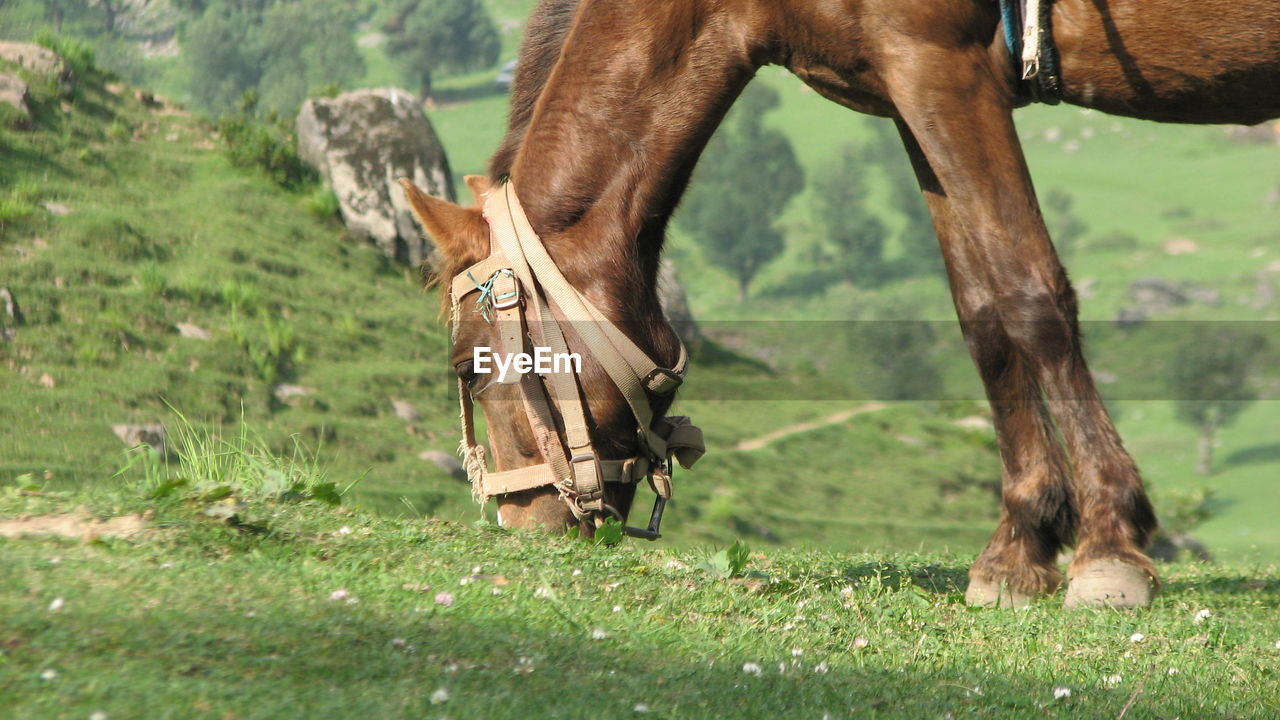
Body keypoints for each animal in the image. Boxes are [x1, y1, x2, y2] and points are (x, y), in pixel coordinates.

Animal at [401, 0, 1280, 607]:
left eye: (471, 370)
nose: (522, 525)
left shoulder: (942, 68)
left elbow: (1028, 293)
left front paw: (1107, 545)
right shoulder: (911, 85)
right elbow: (982, 309)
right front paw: (1022, 541)